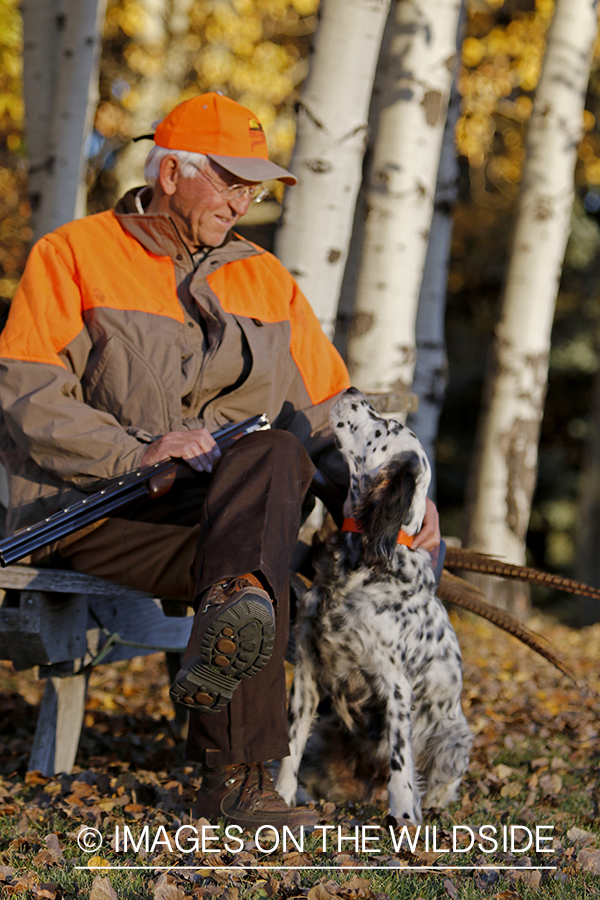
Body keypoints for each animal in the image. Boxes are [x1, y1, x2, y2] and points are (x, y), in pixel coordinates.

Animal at [276, 386, 474, 824]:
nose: (352, 389)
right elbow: (289, 745)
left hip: (454, 738)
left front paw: (404, 815)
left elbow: (401, 761)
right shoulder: (308, 669)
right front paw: (278, 796)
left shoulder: (395, 684)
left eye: (387, 426)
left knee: (438, 783)